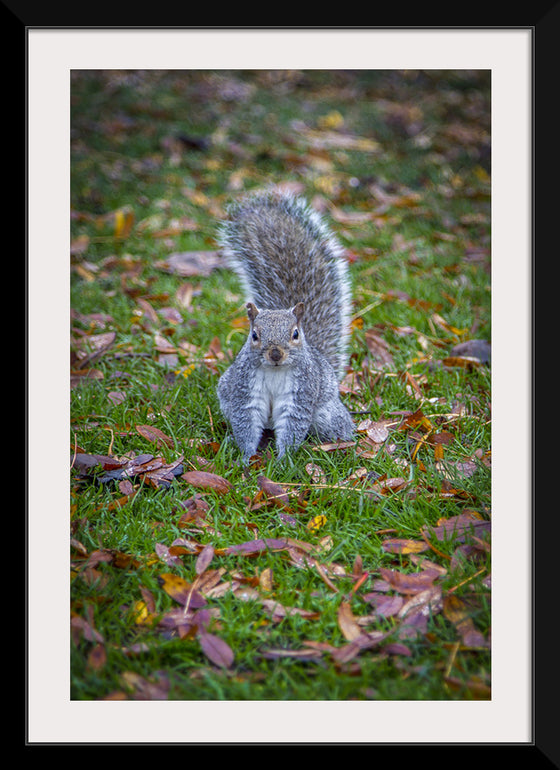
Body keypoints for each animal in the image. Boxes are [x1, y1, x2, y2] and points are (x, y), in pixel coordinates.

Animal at [217, 189, 352, 460]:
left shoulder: (301, 393)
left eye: (295, 334)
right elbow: (246, 421)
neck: (275, 371)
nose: (276, 354)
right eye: (254, 335)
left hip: (326, 413)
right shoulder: (244, 390)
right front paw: (245, 457)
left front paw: (283, 460)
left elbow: (293, 424)